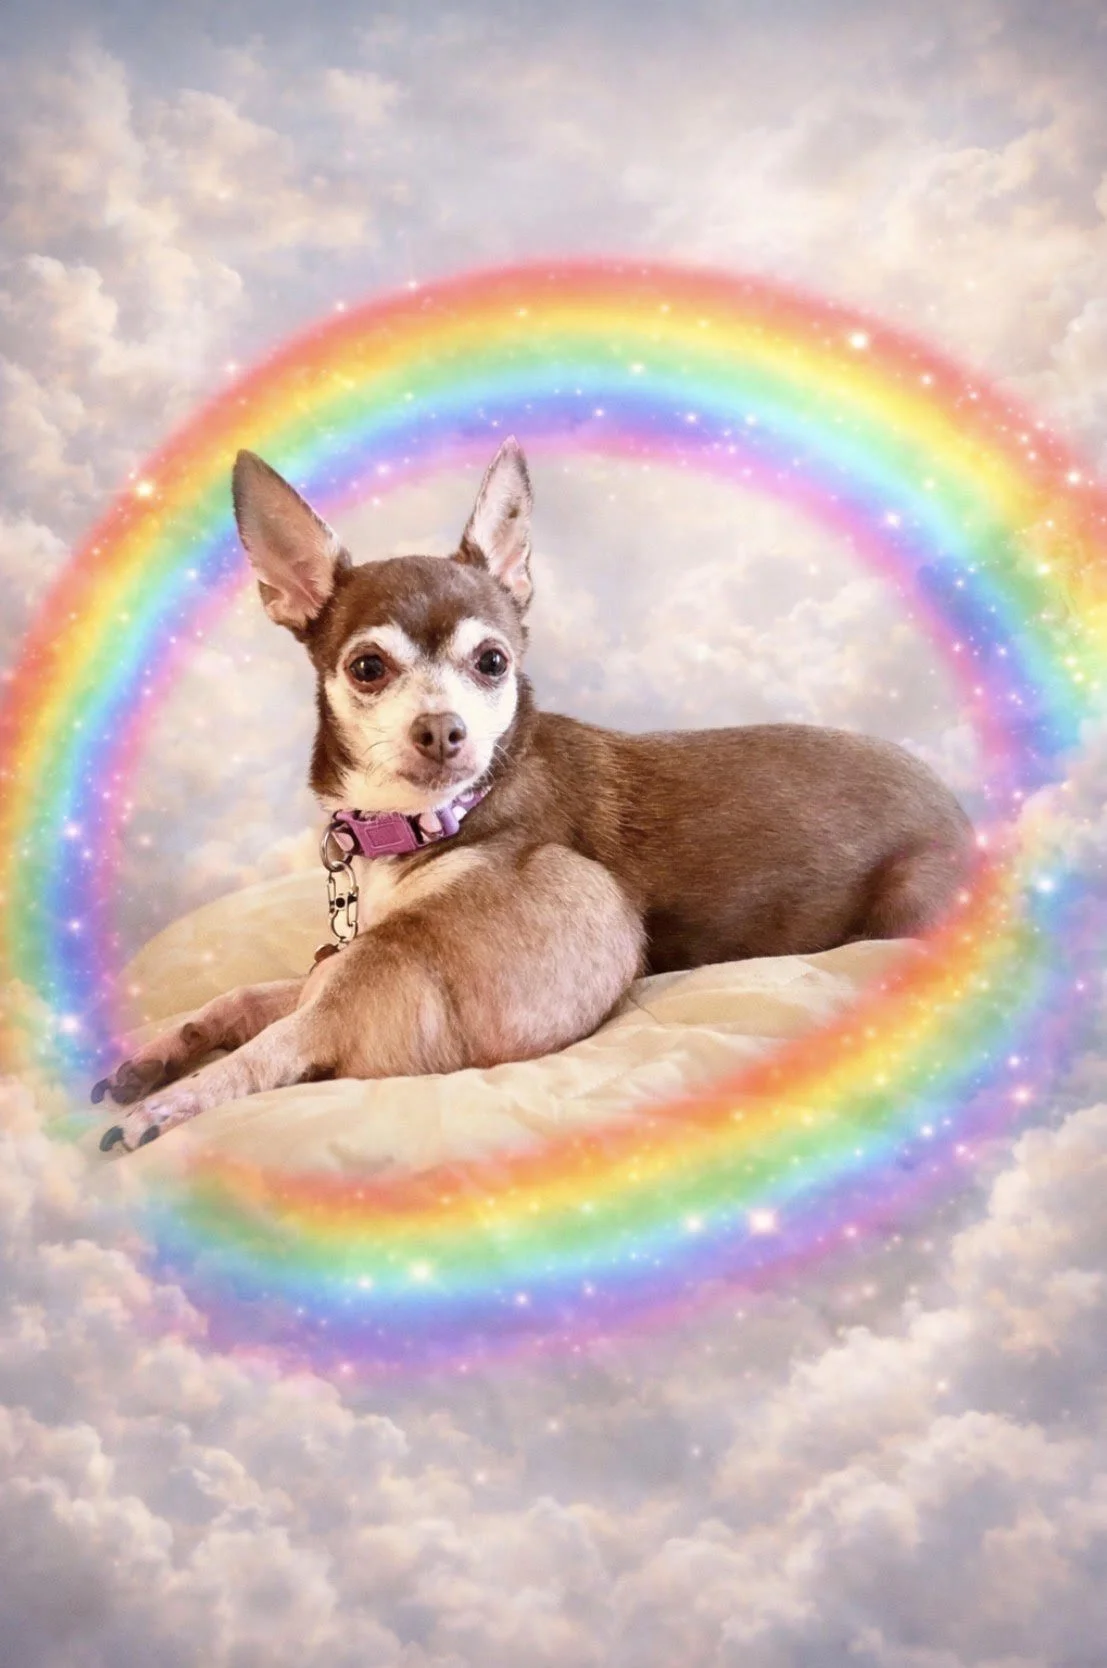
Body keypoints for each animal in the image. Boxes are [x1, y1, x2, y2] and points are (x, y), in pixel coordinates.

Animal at [97, 439, 974, 1151]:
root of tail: (962, 817)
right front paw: (170, 1043)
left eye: (491, 662)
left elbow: (274, 1020)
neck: (419, 825)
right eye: (367, 668)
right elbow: (249, 992)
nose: (442, 729)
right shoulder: (340, 947)